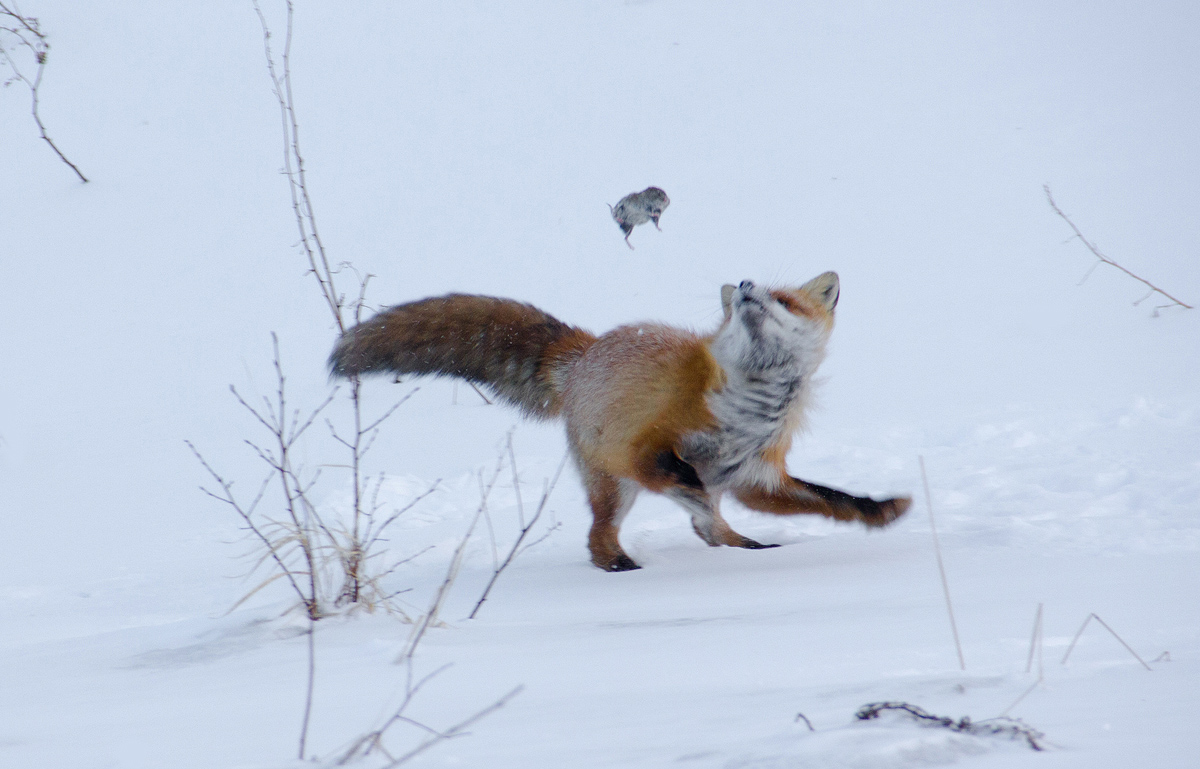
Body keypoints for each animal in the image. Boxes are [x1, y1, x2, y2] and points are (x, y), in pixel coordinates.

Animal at [328, 274, 907, 571]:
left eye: (783, 298)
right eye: (752, 287)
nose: (744, 283)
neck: (745, 403)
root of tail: (585, 348)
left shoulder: (754, 475)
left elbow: (831, 498)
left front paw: (881, 511)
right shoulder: (643, 445)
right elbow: (676, 476)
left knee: (708, 529)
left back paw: (746, 549)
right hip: (611, 484)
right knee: (600, 537)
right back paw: (621, 566)